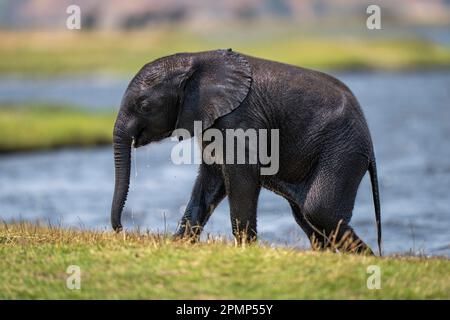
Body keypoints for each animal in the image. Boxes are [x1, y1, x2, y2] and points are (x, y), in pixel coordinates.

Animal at [110, 49, 382, 255]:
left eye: (144, 106)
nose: (122, 230)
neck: (196, 59)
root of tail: (370, 142)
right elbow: (211, 179)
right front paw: (179, 243)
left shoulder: (239, 118)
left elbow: (241, 175)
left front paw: (245, 249)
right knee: (305, 215)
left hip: (342, 150)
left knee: (319, 211)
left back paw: (368, 259)